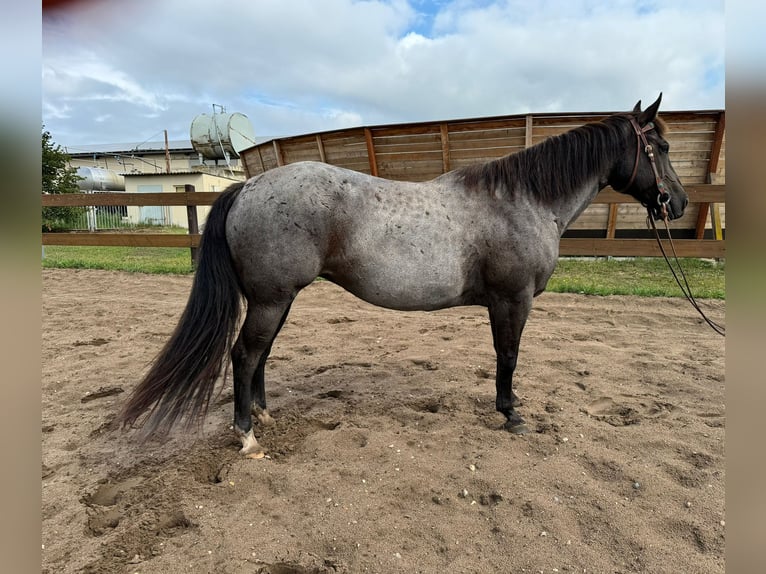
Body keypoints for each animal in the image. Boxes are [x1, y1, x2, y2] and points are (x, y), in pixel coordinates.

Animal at [121, 95, 688, 464]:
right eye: (659, 148)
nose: (677, 203)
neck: (524, 200)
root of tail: (248, 186)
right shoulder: (513, 300)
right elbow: (507, 357)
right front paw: (510, 414)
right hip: (270, 299)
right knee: (244, 355)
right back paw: (246, 436)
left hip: (276, 300)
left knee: (258, 355)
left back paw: (264, 418)